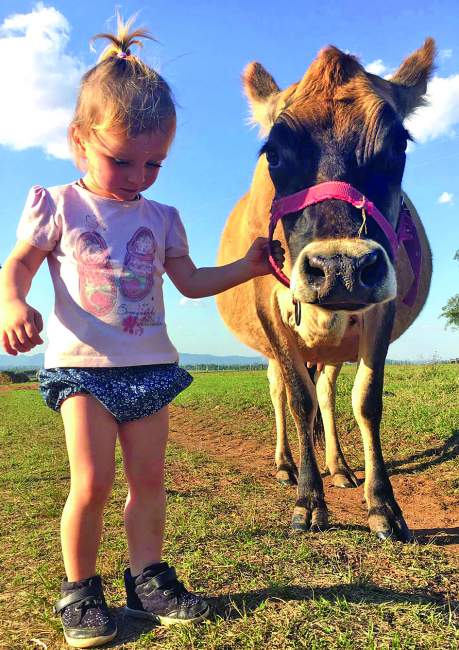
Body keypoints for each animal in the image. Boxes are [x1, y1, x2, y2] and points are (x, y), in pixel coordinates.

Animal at [217, 38, 436, 540]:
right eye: (273, 153)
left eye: (399, 144)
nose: (342, 267)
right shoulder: (269, 310)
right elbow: (299, 402)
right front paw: (307, 501)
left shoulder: (381, 305)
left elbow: (366, 400)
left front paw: (382, 505)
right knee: (281, 391)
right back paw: (285, 465)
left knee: (327, 391)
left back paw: (338, 466)